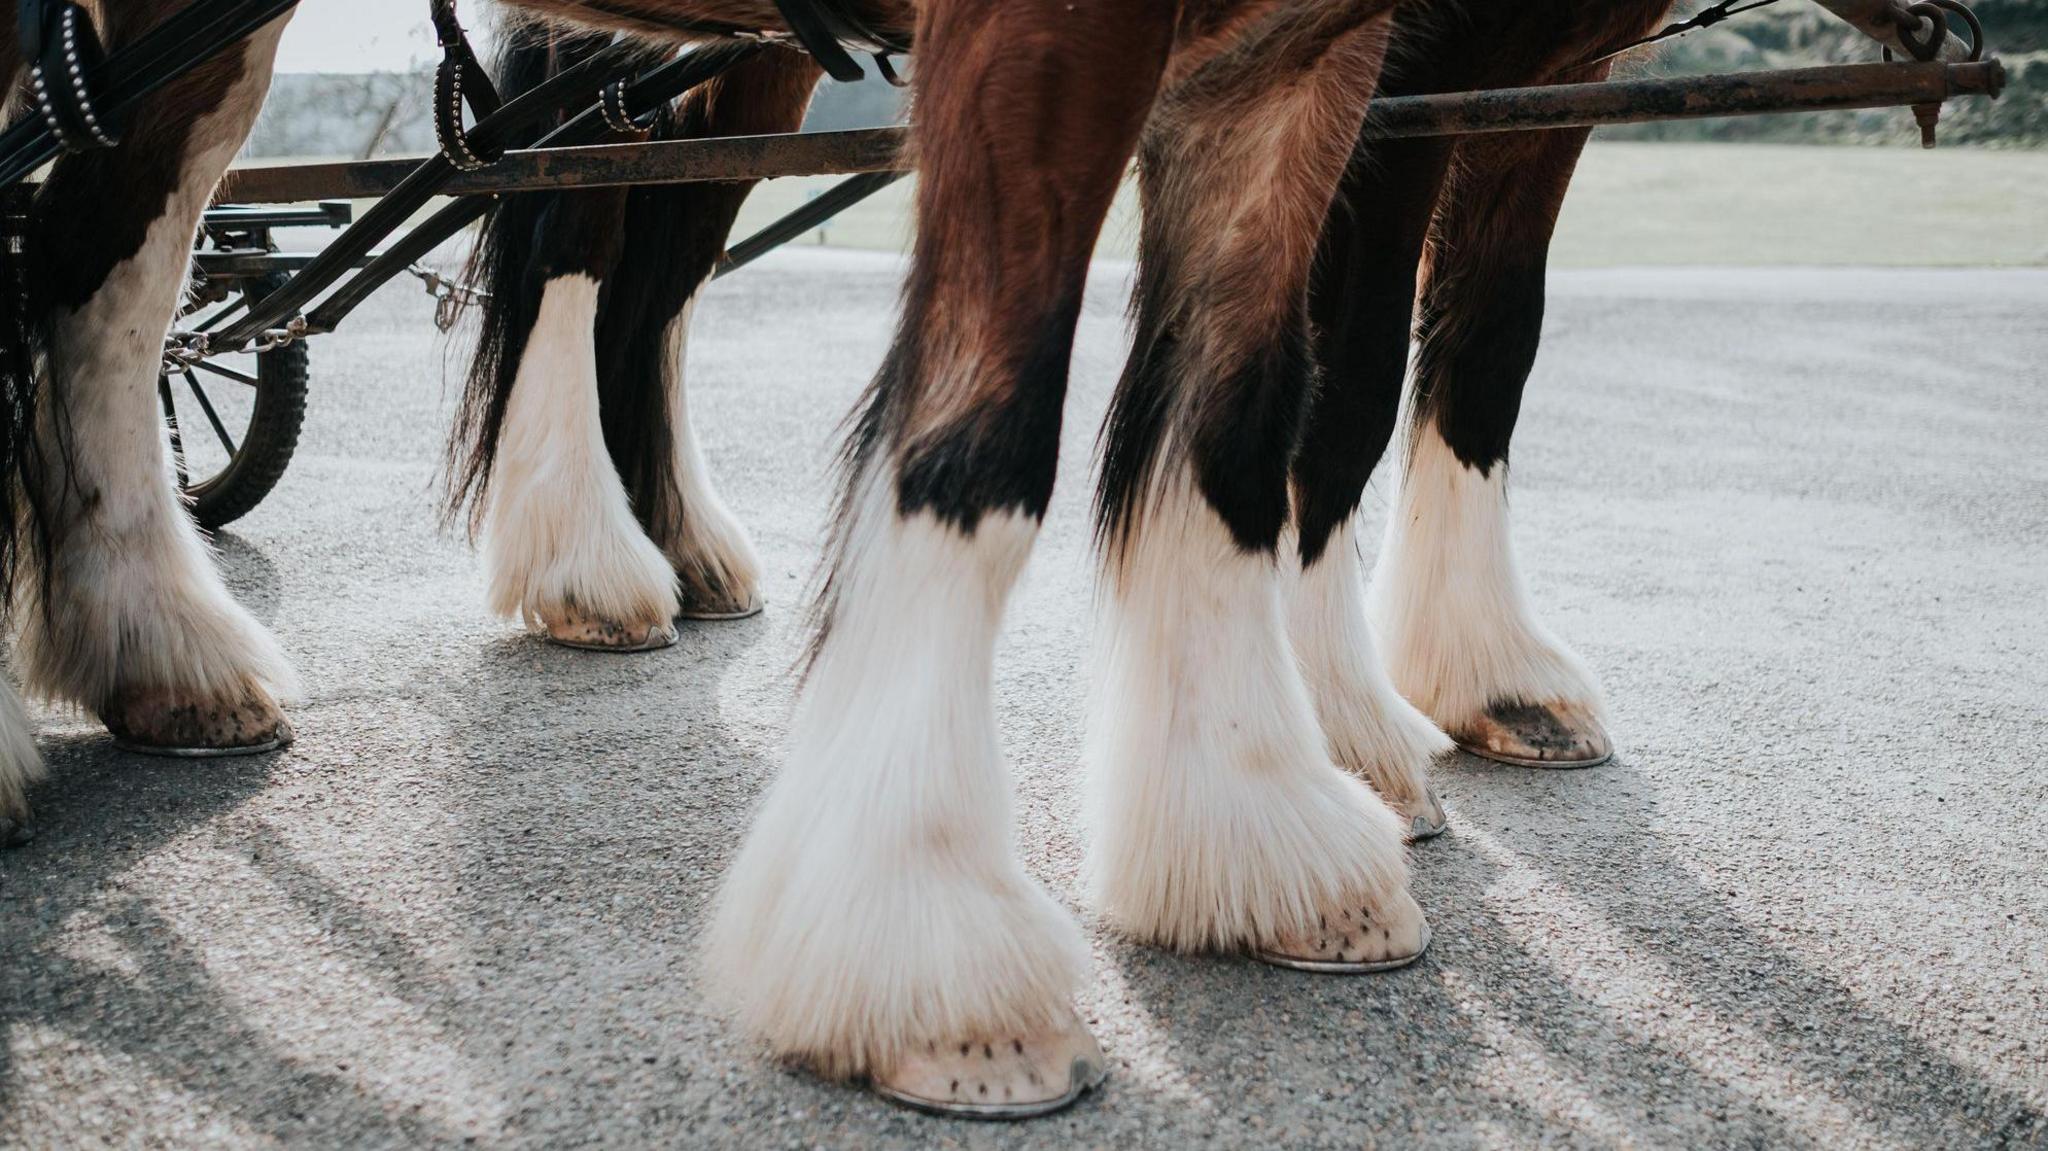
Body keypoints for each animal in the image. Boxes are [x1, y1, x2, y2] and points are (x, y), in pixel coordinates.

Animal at [0, 0, 1679, 1122]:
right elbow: (994, 432)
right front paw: (925, 938)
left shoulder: (1328, 57)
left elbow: (1262, 411)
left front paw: (1256, 817)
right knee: (518, 246)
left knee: (122, 244)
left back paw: (161, 638)